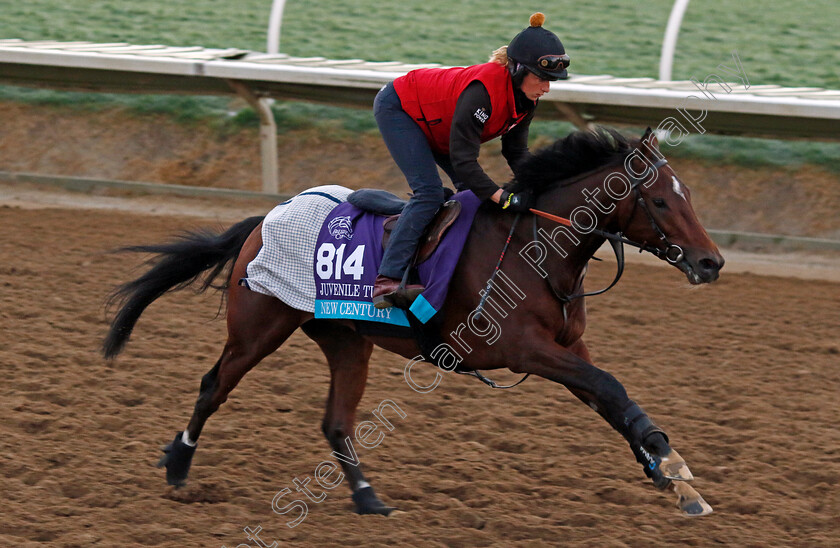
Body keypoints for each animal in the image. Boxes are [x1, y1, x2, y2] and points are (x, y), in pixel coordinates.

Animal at [103, 127, 720, 520]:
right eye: (661, 202)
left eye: (688, 195)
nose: (711, 262)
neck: (537, 248)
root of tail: (265, 218)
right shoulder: (523, 348)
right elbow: (609, 387)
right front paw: (670, 463)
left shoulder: (570, 345)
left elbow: (612, 397)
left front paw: (671, 475)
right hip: (258, 328)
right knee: (214, 386)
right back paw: (178, 467)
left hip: (347, 340)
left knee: (336, 422)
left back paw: (368, 499)